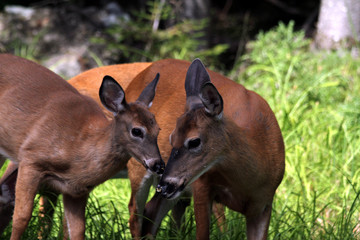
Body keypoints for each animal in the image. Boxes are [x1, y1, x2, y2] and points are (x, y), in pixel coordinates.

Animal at [0, 54, 164, 240]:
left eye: (158, 129)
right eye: (136, 131)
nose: (158, 164)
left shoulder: (76, 192)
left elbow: (77, 231)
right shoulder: (30, 159)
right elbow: (21, 217)